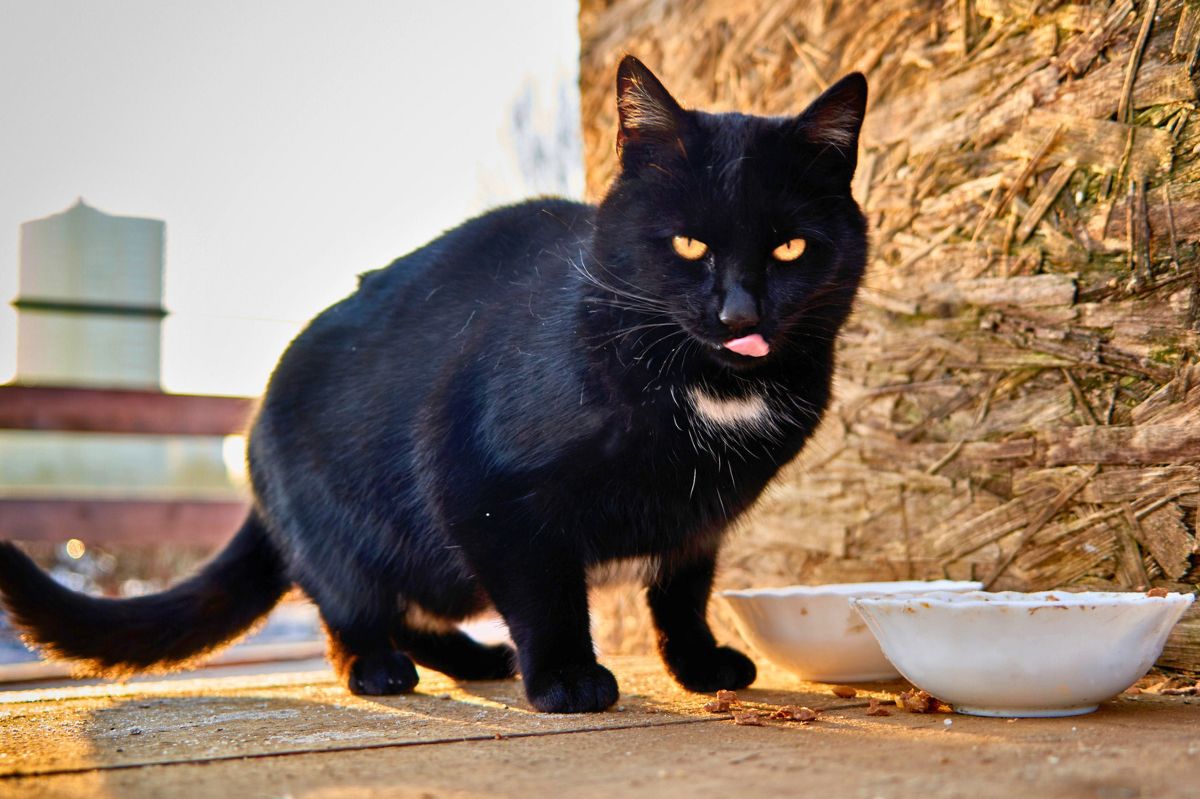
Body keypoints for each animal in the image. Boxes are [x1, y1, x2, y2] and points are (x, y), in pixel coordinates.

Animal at [0, 59, 868, 710]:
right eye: (689, 244)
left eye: (790, 248)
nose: (739, 310)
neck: (703, 385)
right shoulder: (485, 488)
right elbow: (546, 591)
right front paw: (565, 676)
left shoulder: (696, 521)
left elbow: (681, 593)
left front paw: (698, 663)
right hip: (351, 524)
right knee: (349, 599)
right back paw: (376, 666)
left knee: (407, 605)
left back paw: (476, 658)